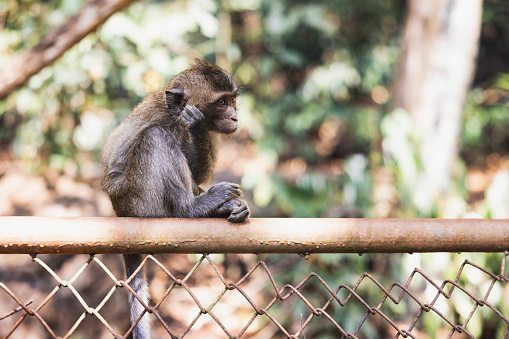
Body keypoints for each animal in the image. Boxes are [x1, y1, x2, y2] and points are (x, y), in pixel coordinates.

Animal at [100, 59, 249, 338]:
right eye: (222, 102)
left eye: (232, 100)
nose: (235, 117)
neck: (177, 117)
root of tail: (119, 211)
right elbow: (161, 134)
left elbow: (197, 172)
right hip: (139, 200)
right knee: (155, 136)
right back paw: (192, 208)